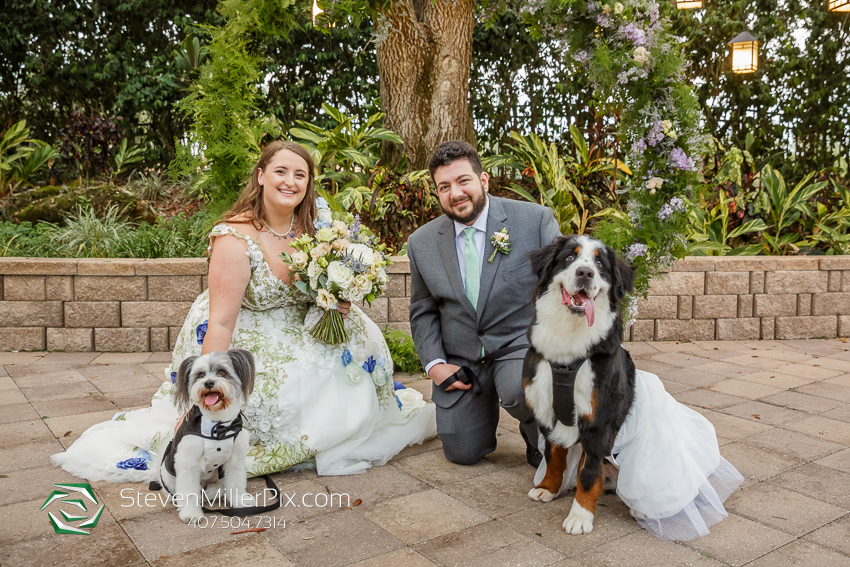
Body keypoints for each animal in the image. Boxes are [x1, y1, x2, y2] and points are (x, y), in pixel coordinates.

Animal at [157, 350, 253, 524]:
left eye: (222, 372)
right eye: (200, 375)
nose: (208, 383)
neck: (218, 423)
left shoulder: (235, 460)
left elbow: (236, 483)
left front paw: (240, 502)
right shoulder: (188, 463)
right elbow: (188, 492)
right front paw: (191, 514)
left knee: (218, 488)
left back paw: (211, 492)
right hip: (169, 479)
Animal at [520, 235, 632, 536]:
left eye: (600, 263)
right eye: (571, 257)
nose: (585, 273)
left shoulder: (598, 423)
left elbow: (589, 473)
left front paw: (580, 516)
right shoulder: (547, 412)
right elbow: (554, 456)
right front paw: (548, 488)